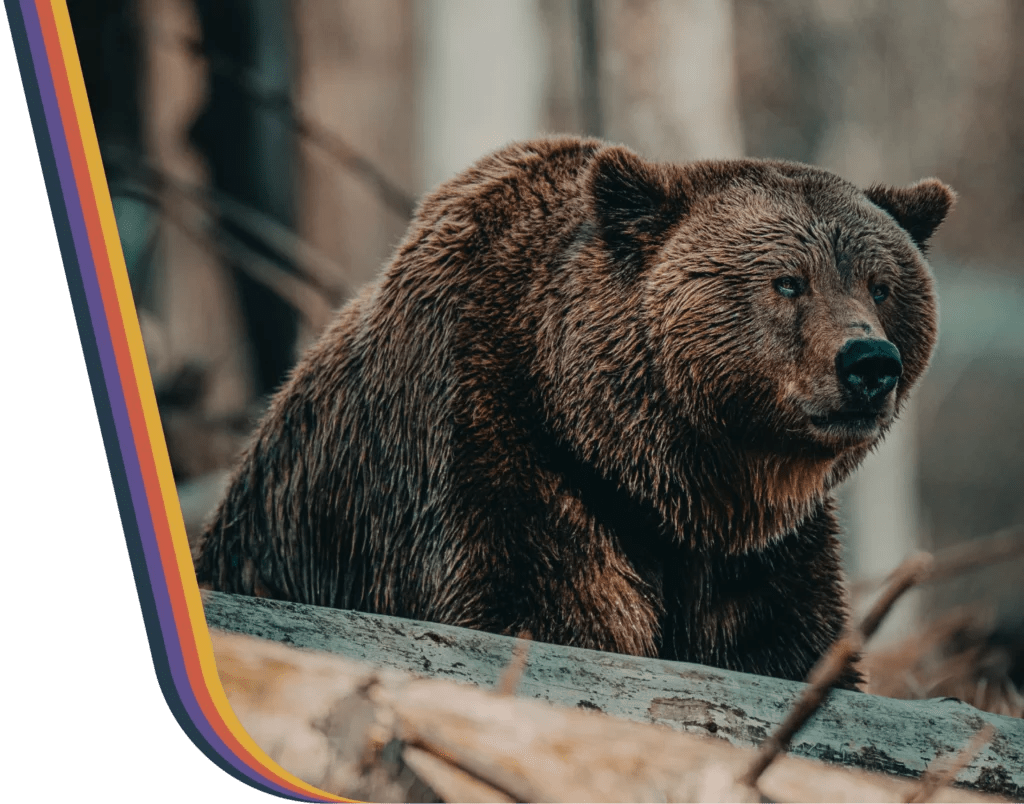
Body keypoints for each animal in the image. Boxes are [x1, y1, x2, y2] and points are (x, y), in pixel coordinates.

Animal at [194, 136, 953, 687]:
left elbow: (785, 644)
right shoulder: (488, 459)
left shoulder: (759, 554)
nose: (869, 363)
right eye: (788, 282)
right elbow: (540, 611)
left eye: (881, 285)